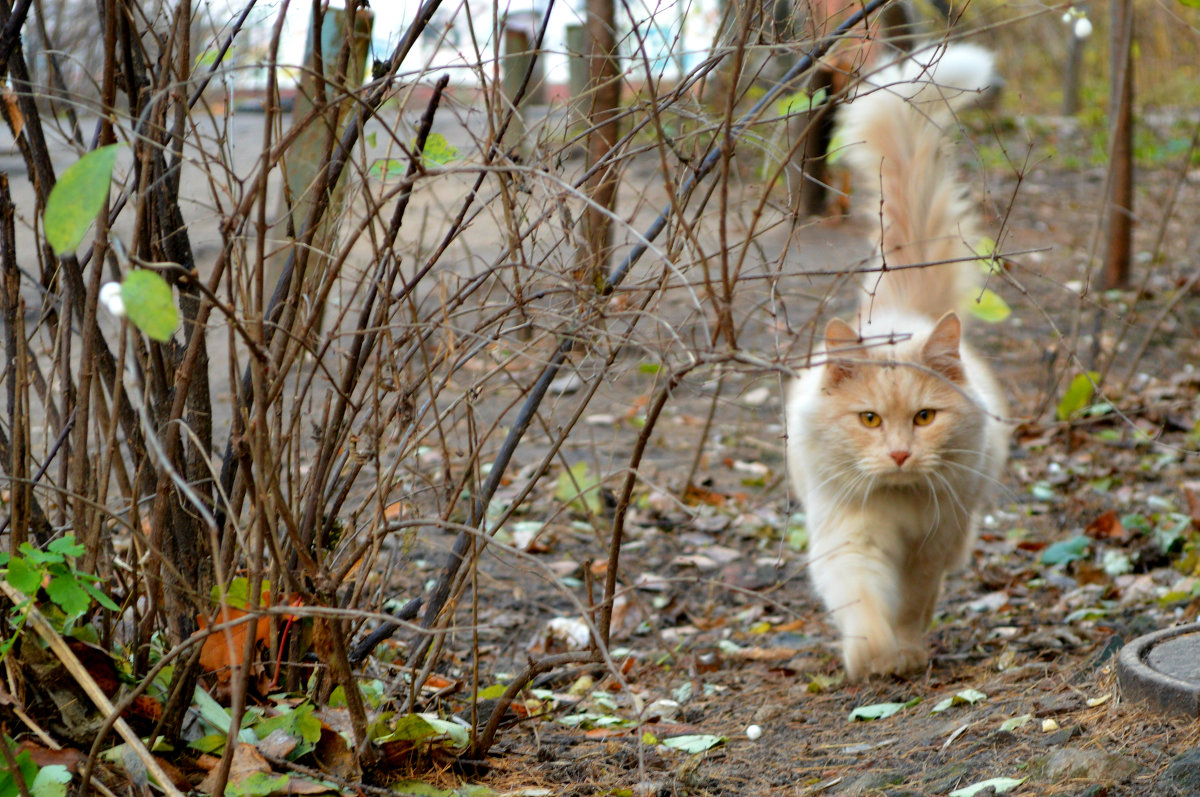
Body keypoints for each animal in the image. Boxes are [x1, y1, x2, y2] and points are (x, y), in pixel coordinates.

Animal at [787, 43, 1012, 676]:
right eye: (868, 419)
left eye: (924, 418)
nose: (899, 455)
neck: (897, 503)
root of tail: (900, 311)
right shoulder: (848, 537)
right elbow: (863, 602)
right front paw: (874, 657)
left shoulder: (933, 544)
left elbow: (912, 603)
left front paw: (906, 653)